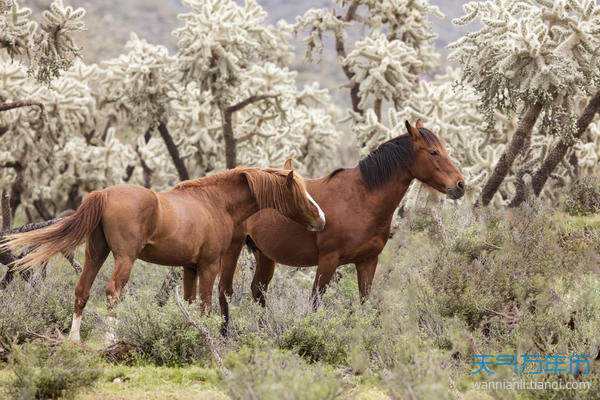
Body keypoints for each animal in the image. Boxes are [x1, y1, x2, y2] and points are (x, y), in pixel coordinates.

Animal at [2, 166, 326, 340]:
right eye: (299, 191)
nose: (322, 219)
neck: (215, 203)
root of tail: (104, 194)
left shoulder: (189, 268)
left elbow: (190, 302)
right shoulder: (209, 265)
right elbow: (205, 304)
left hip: (95, 254)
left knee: (82, 290)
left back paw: (74, 339)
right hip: (124, 259)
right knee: (112, 292)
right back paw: (110, 338)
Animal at [218, 120, 466, 324]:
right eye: (433, 152)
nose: (460, 185)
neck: (361, 198)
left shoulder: (368, 261)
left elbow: (364, 302)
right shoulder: (328, 261)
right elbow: (315, 302)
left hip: (265, 255)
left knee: (258, 291)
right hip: (233, 251)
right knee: (225, 291)